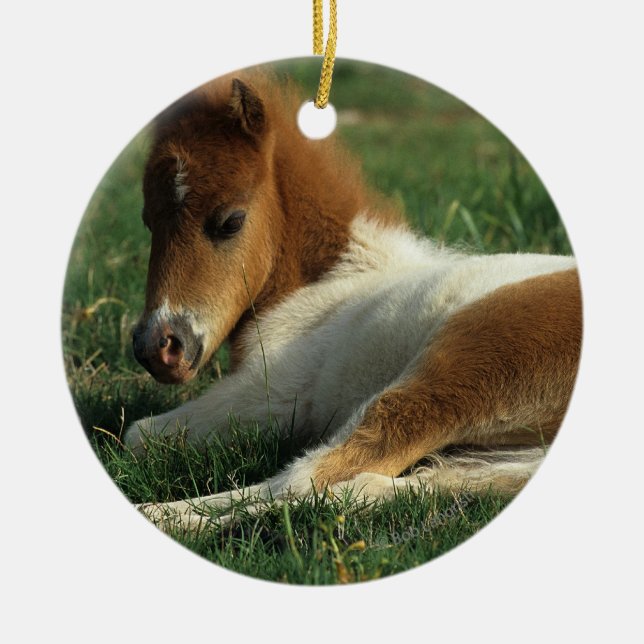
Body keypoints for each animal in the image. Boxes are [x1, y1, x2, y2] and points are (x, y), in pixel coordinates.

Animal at [123, 72, 582, 530]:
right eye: (147, 221)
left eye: (230, 222)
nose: (158, 347)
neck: (335, 278)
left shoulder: (269, 396)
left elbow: (138, 435)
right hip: (514, 457)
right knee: (372, 485)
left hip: (456, 377)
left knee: (308, 479)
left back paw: (164, 515)